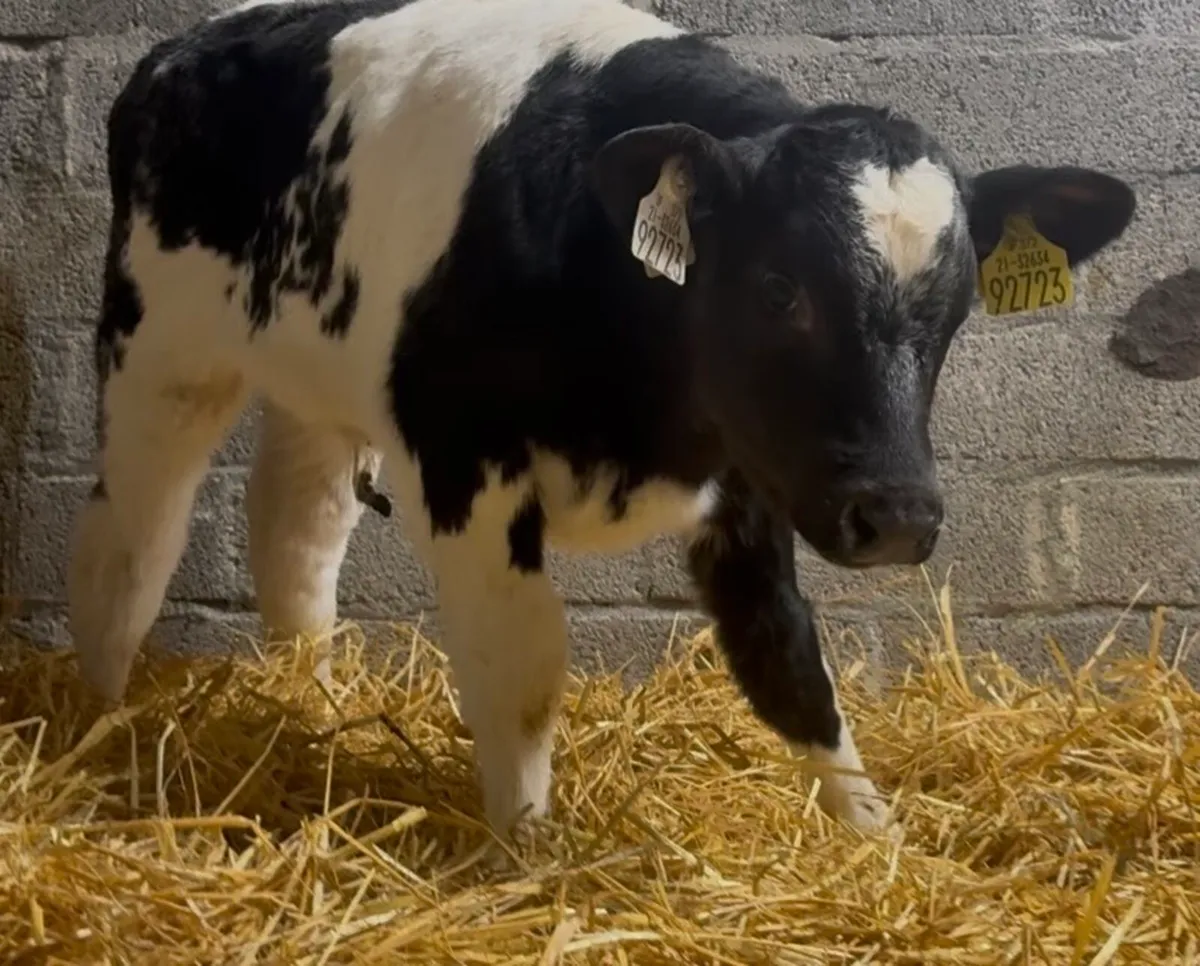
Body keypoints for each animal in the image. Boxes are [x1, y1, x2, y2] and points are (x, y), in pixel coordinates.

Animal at [67, 0, 1136, 841]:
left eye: (956, 308)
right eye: (779, 288)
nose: (900, 516)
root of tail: (189, 43)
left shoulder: (750, 476)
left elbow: (787, 657)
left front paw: (875, 839)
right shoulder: (463, 458)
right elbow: (525, 667)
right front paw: (529, 852)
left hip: (317, 379)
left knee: (294, 536)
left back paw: (315, 704)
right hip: (159, 350)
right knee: (132, 542)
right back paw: (92, 730)